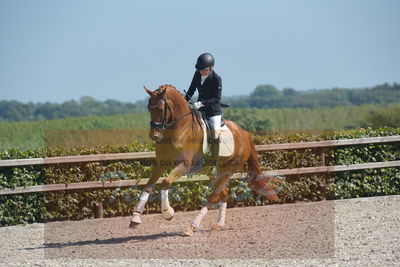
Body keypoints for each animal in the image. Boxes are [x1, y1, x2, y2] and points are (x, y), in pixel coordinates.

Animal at [130, 84, 280, 237]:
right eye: (149, 108)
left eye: (161, 109)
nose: (154, 136)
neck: (179, 129)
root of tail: (244, 133)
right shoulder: (160, 163)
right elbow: (148, 185)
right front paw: (135, 218)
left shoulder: (185, 165)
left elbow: (165, 182)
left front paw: (168, 213)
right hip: (215, 173)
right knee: (223, 194)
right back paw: (219, 224)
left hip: (228, 169)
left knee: (213, 196)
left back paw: (191, 227)